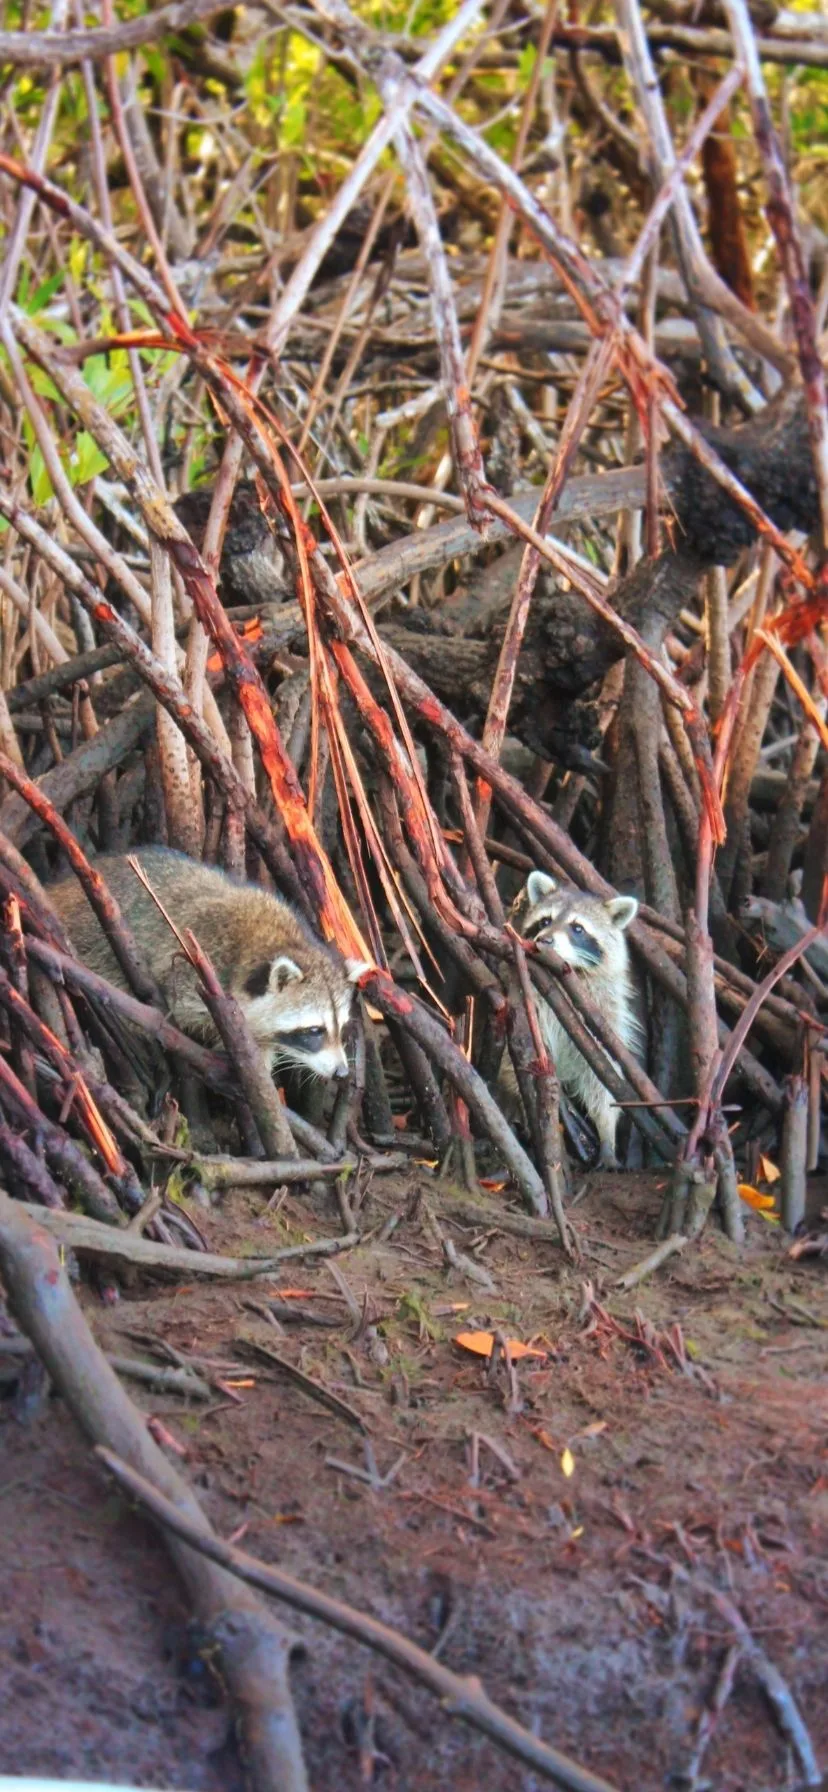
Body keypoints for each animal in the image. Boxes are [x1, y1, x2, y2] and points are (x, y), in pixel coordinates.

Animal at [46, 849, 367, 1082]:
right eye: (314, 1031)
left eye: (342, 1027)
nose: (341, 1073)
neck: (280, 940)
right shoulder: (191, 971)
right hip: (95, 943)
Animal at [508, 870, 645, 1175]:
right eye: (545, 921)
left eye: (578, 929)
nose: (545, 940)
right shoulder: (523, 998)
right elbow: (518, 1061)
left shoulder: (603, 1015)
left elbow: (601, 1075)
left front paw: (606, 1133)